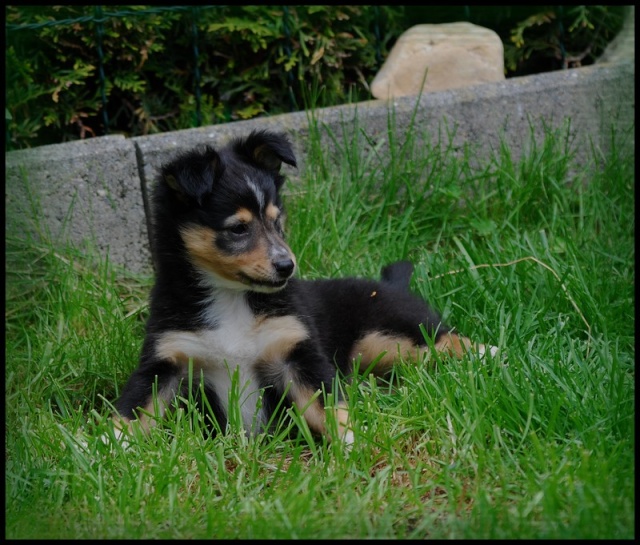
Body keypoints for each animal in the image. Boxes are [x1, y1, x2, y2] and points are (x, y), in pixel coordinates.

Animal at [114, 130, 496, 444]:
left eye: (276, 220)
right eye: (238, 229)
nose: (287, 266)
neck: (232, 297)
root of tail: (388, 284)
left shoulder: (296, 352)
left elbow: (328, 406)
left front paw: (354, 443)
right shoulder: (166, 361)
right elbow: (131, 411)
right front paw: (102, 449)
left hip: (389, 337)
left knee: (446, 340)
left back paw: (492, 353)